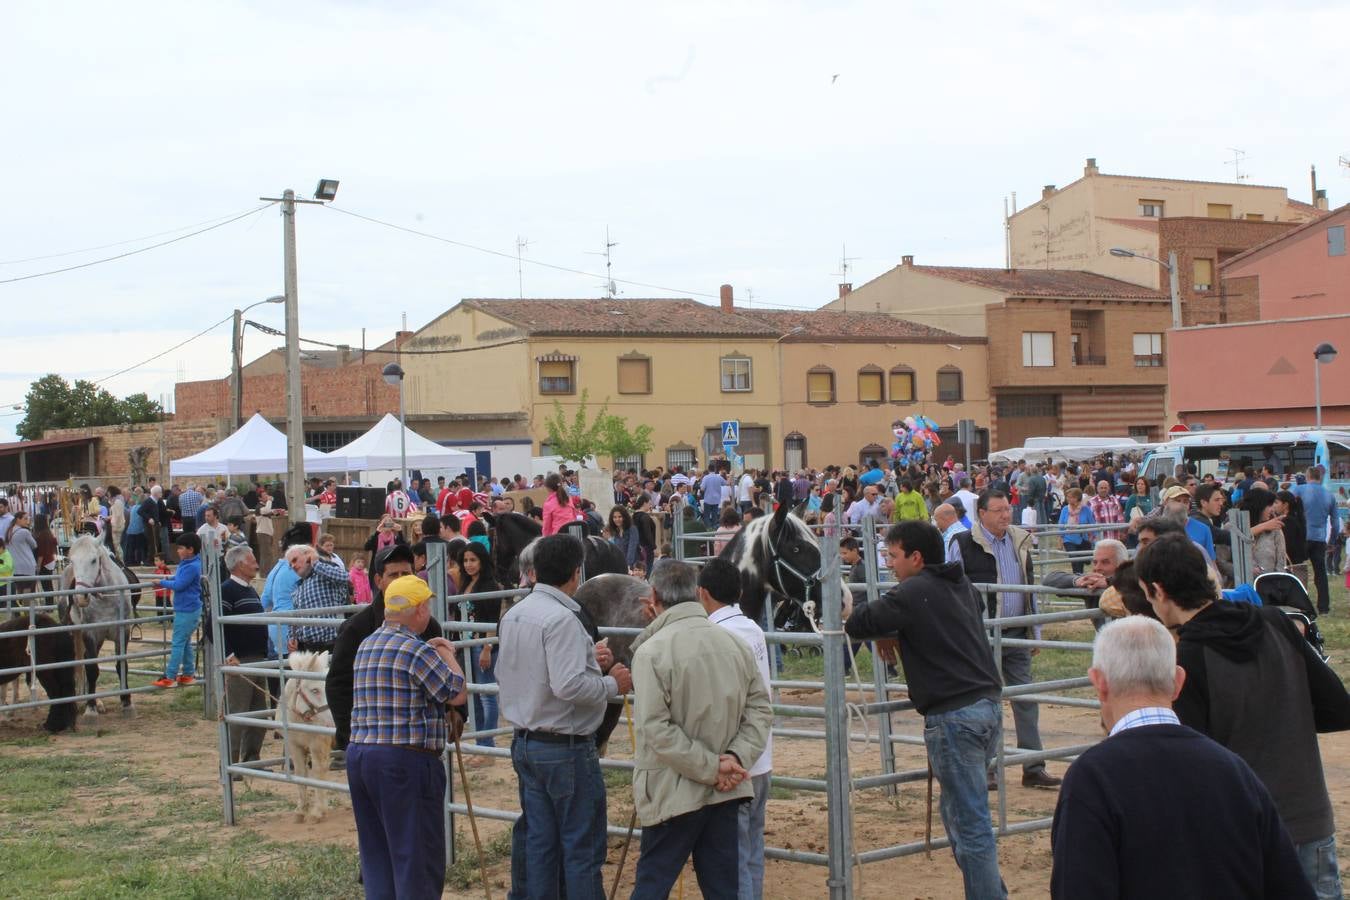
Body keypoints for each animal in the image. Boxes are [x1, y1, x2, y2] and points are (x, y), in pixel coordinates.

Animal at [278, 655, 333, 825]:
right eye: (315, 690)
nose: (332, 723)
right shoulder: (294, 746)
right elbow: (301, 774)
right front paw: (301, 811)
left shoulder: (318, 745)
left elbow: (318, 772)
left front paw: (318, 812)